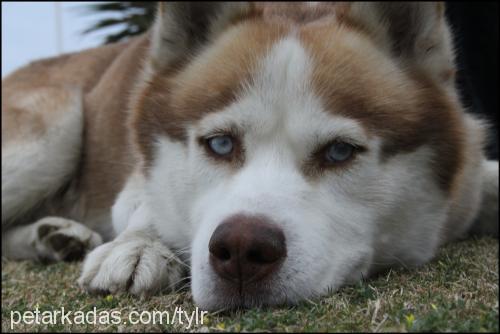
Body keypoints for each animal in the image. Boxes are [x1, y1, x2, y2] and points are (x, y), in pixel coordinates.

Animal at [1, 1, 498, 310]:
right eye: (220, 144)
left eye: (340, 151)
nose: (240, 249)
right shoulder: (137, 177)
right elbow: (148, 204)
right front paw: (139, 245)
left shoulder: (470, 179)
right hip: (56, 124)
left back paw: (52, 237)